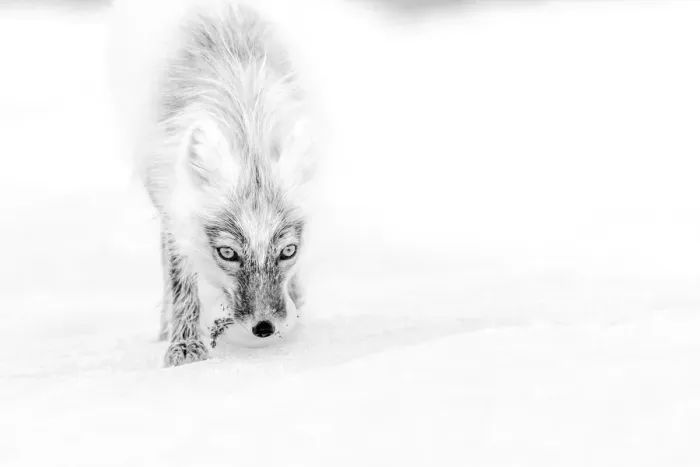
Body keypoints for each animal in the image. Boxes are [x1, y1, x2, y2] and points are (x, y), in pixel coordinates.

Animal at [115, 0, 316, 366]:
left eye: (288, 251)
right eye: (227, 252)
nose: (264, 328)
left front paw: (296, 307)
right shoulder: (173, 205)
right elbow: (181, 281)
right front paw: (184, 347)